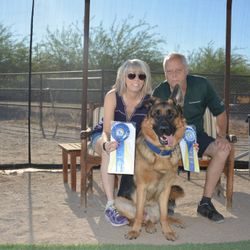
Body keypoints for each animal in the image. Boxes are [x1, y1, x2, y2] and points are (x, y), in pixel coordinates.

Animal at [115, 85, 186, 241]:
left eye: (171, 115)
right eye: (156, 115)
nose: (164, 130)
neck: (160, 154)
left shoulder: (166, 190)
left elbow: (165, 215)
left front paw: (168, 231)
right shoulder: (141, 188)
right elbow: (139, 214)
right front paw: (135, 232)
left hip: (158, 205)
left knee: (158, 218)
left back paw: (167, 223)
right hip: (121, 202)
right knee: (138, 218)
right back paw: (146, 226)